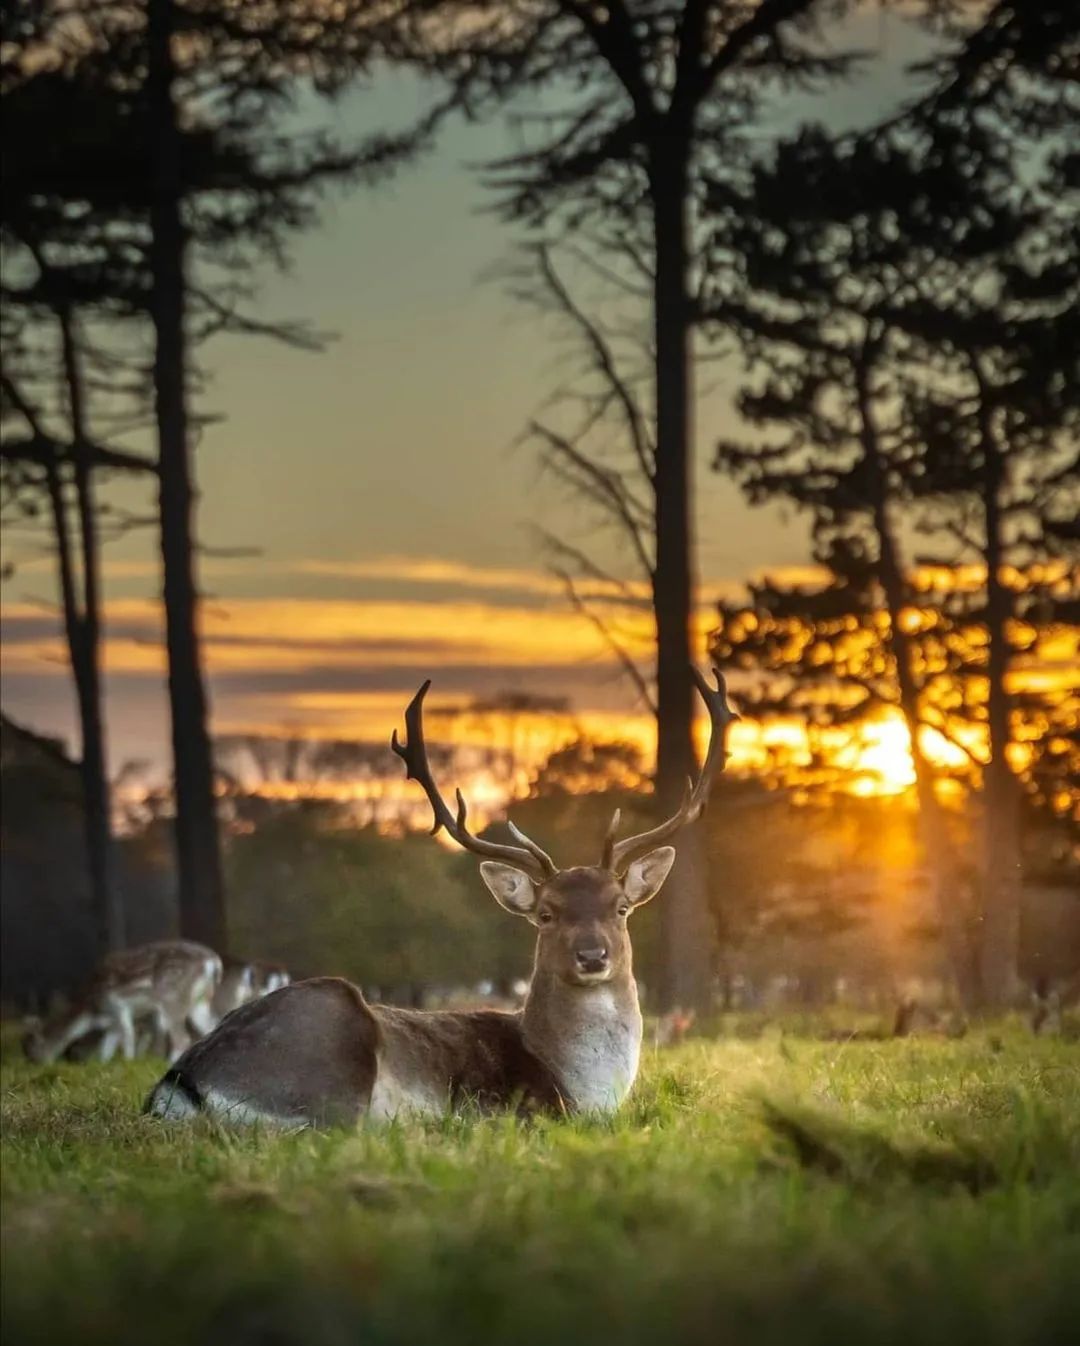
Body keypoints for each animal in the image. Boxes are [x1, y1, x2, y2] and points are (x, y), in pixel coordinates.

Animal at [24, 942, 222, 1066]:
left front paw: (128, 1064)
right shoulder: (111, 1022)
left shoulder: (117, 1007)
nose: (35, 1065)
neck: (92, 1012)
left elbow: (127, 1037)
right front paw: (104, 1066)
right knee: (210, 1026)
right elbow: (107, 1047)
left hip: (172, 998)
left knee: (182, 1038)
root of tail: (212, 962)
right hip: (200, 1001)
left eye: (31, 1050)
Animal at [140, 667, 732, 1130]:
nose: (592, 955)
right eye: (546, 914)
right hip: (332, 1051)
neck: (583, 1089)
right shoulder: (505, 1106)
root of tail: (182, 1082)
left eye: (621, 907)